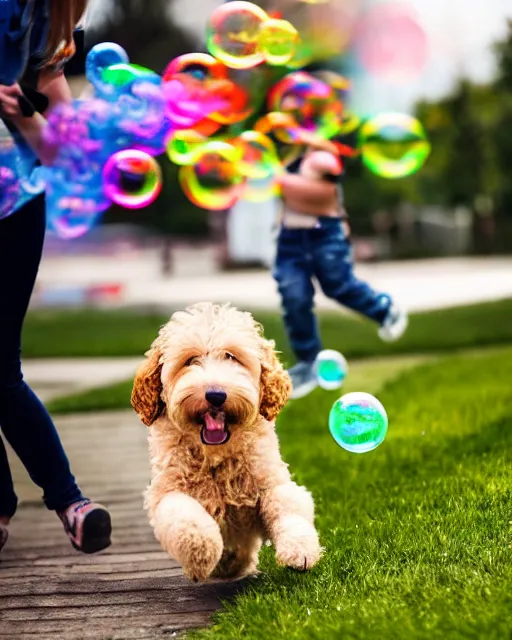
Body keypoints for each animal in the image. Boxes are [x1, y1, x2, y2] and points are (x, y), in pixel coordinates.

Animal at [132, 302, 322, 584]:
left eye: (232, 357)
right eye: (190, 361)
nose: (215, 394)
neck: (216, 456)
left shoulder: (272, 482)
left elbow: (288, 508)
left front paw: (300, 550)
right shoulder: (167, 491)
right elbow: (186, 517)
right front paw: (201, 552)